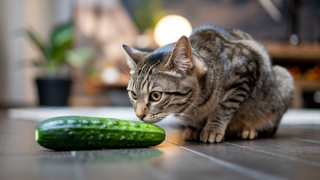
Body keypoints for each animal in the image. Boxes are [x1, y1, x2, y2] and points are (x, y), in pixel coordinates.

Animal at [122, 25, 296, 143]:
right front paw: (196, 128)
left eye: (156, 96)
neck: (196, 105)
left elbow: (223, 109)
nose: (139, 115)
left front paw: (212, 129)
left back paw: (249, 129)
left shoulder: (243, 75)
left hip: (283, 80)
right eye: (134, 95)